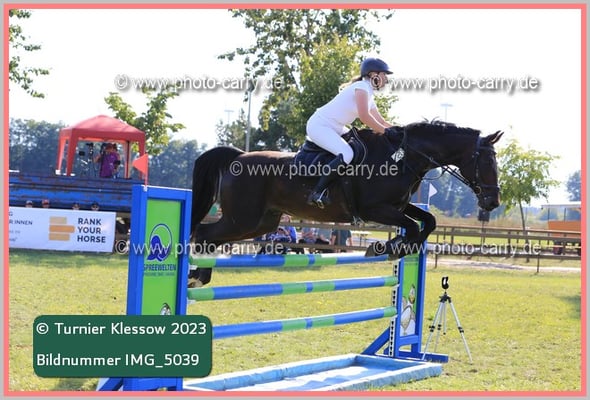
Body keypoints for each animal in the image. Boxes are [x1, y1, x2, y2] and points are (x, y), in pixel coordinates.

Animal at [188, 121, 503, 287]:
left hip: (260, 222)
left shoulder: (398, 206)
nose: (493, 201)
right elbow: (413, 227)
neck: (403, 158)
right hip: (244, 218)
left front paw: (395, 247)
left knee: (211, 237)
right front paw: (387, 247)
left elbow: (428, 222)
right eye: (487, 161)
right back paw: (196, 276)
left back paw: (200, 275)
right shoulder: (375, 209)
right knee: (202, 233)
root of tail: (238, 156)